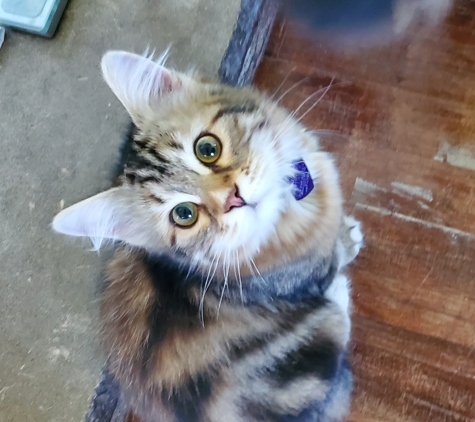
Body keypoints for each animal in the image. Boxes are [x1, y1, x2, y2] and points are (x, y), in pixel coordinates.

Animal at [53, 50, 364, 422]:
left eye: (207, 149)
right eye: (184, 215)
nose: (233, 199)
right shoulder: (307, 274)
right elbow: (334, 256)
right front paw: (348, 240)